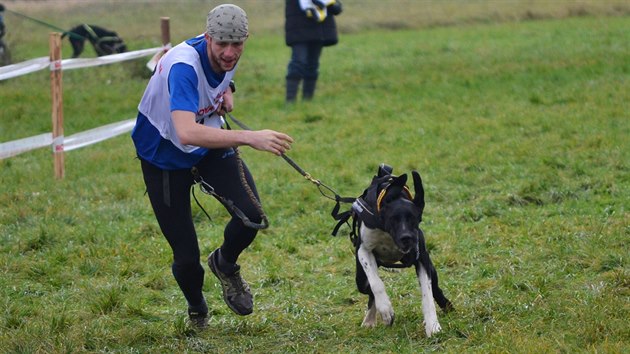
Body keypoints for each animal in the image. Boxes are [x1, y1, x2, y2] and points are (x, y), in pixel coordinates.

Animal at [336, 165, 454, 336]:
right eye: (393, 219)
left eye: (414, 219)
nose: (406, 238)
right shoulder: (364, 251)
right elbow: (376, 284)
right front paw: (386, 310)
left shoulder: (421, 258)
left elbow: (427, 294)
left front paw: (432, 325)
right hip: (360, 280)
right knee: (369, 290)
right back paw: (370, 319)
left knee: (435, 288)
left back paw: (446, 305)